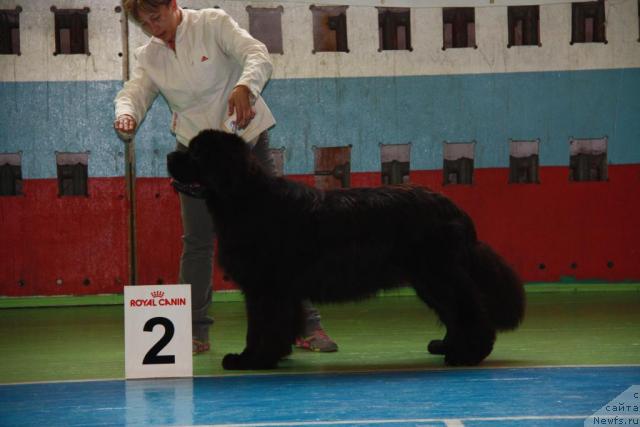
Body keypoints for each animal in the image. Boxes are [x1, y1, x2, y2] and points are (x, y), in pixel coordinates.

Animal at [169, 130, 524, 372]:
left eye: (197, 154)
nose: (170, 157)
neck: (246, 199)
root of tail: (454, 209)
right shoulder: (275, 289)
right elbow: (274, 325)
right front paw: (267, 355)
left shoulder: (267, 287)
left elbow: (262, 326)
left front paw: (251, 359)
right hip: (429, 280)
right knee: (454, 312)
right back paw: (447, 345)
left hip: (438, 275)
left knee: (469, 310)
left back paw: (467, 354)